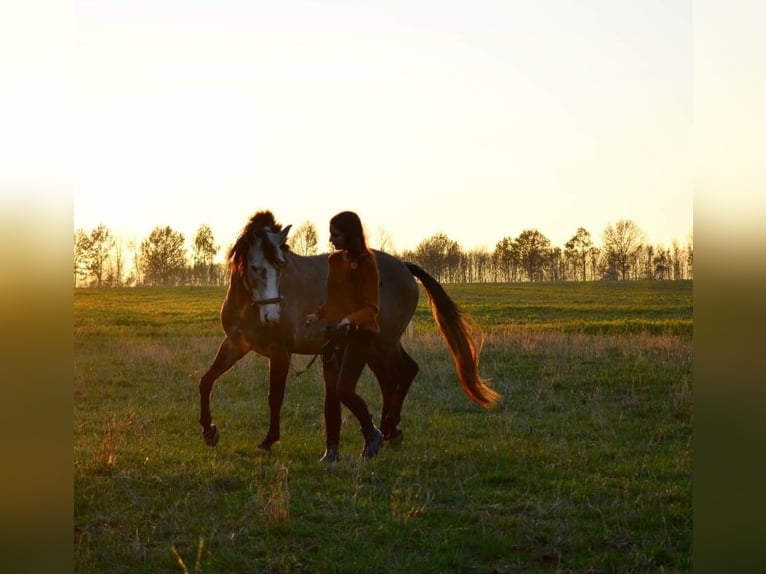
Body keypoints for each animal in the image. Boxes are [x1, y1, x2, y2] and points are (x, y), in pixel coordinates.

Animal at [198, 210, 500, 450]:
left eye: (281, 267)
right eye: (255, 267)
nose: (272, 316)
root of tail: (403, 266)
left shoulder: (280, 351)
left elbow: (275, 397)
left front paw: (269, 439)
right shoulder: (235, 344)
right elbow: (206, 381)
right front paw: (209, 431)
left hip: (383, 343)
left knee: (405, 372)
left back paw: (388, 428)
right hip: (374, 347)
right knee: (390, 379)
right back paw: (386, 430)